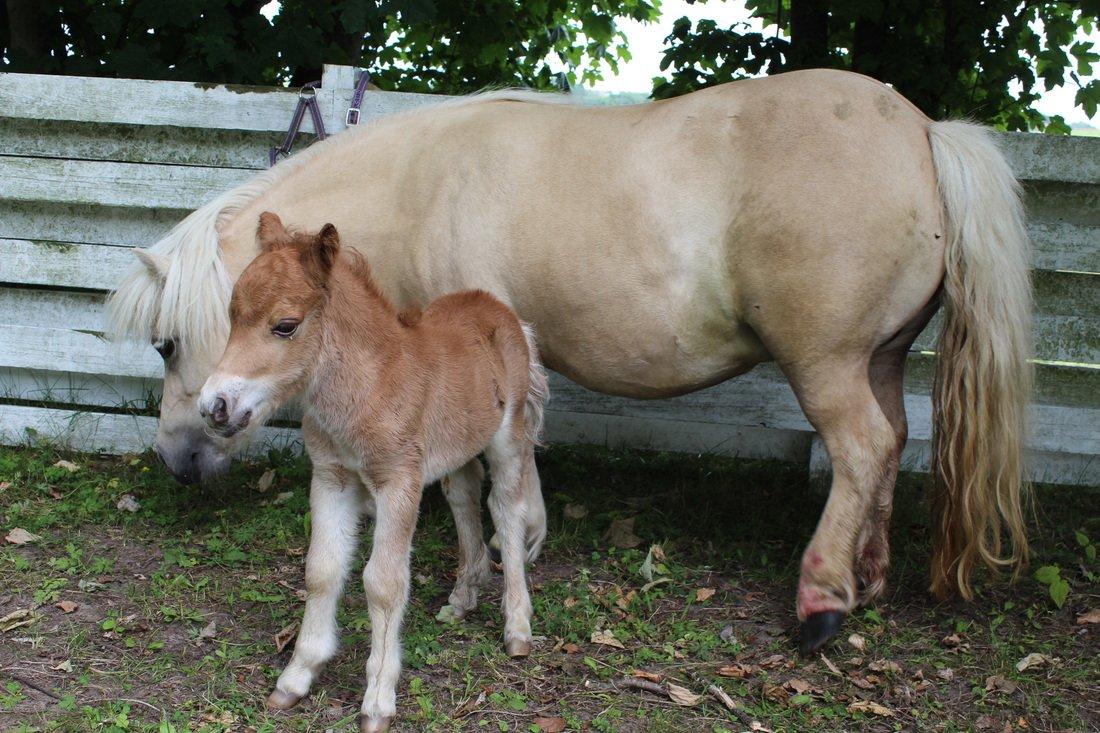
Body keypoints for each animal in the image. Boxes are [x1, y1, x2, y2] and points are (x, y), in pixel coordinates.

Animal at [105, 68, 1029, 651]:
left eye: (169, 341)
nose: (179, 457)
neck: (419, 185)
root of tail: (925, 129)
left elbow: (480, 480)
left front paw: (499, 561)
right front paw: (522, 544)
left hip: (828, 364)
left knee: (861, 449)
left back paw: (823, 600)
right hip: (880, 356)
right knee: (891, 442)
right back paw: (867, 576)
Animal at [199, 212, 550, 730]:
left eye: (285, 326)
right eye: (233, 317)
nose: (214, 407)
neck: (372, 384)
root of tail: (503, 313)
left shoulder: (398, 482)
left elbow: (383, 584)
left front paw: (378, 700)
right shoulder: (331, 478)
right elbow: (322, 570)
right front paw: (297, 676)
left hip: (507, 441)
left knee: (506, 510)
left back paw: (517, 628)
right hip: (455, 445)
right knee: (464, 493)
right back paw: (463, 597)